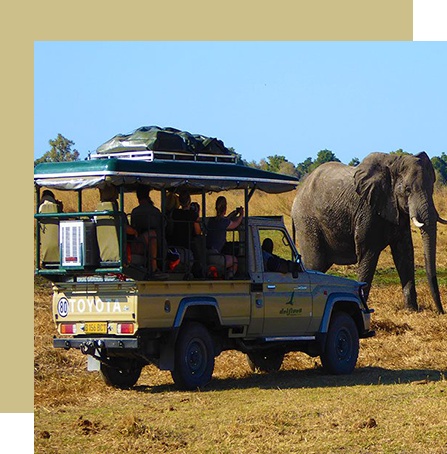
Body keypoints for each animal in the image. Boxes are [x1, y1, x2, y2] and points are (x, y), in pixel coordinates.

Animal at [292, 151, 446, 314]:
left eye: (432, 188)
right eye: (407, 190)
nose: (441, 312)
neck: (393, 163)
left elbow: (404, 253)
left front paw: (411, 310)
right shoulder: (367, 209)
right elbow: (368, 252)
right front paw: (361, 308)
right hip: (307, 222)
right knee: (314, 263)